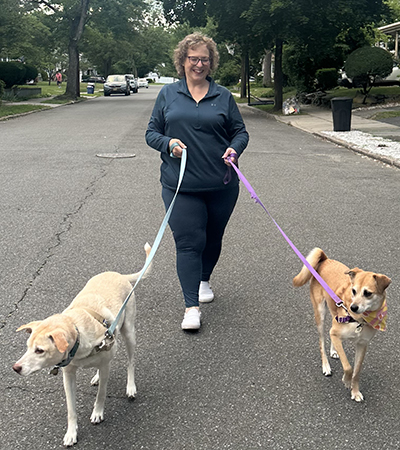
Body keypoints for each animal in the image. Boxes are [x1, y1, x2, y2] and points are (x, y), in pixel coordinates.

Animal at [290, 248, 390, 402]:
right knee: (322, 343)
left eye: (368, 293)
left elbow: (356, 371)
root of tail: (325, 260)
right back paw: (326, 366)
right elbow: (348, 367)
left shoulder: (362, 344)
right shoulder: (337, 333)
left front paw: (355, 391)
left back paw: (334, 351)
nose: (353, 307)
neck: (359, 320)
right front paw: (347, 381)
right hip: (320, 314)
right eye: (353, 291)